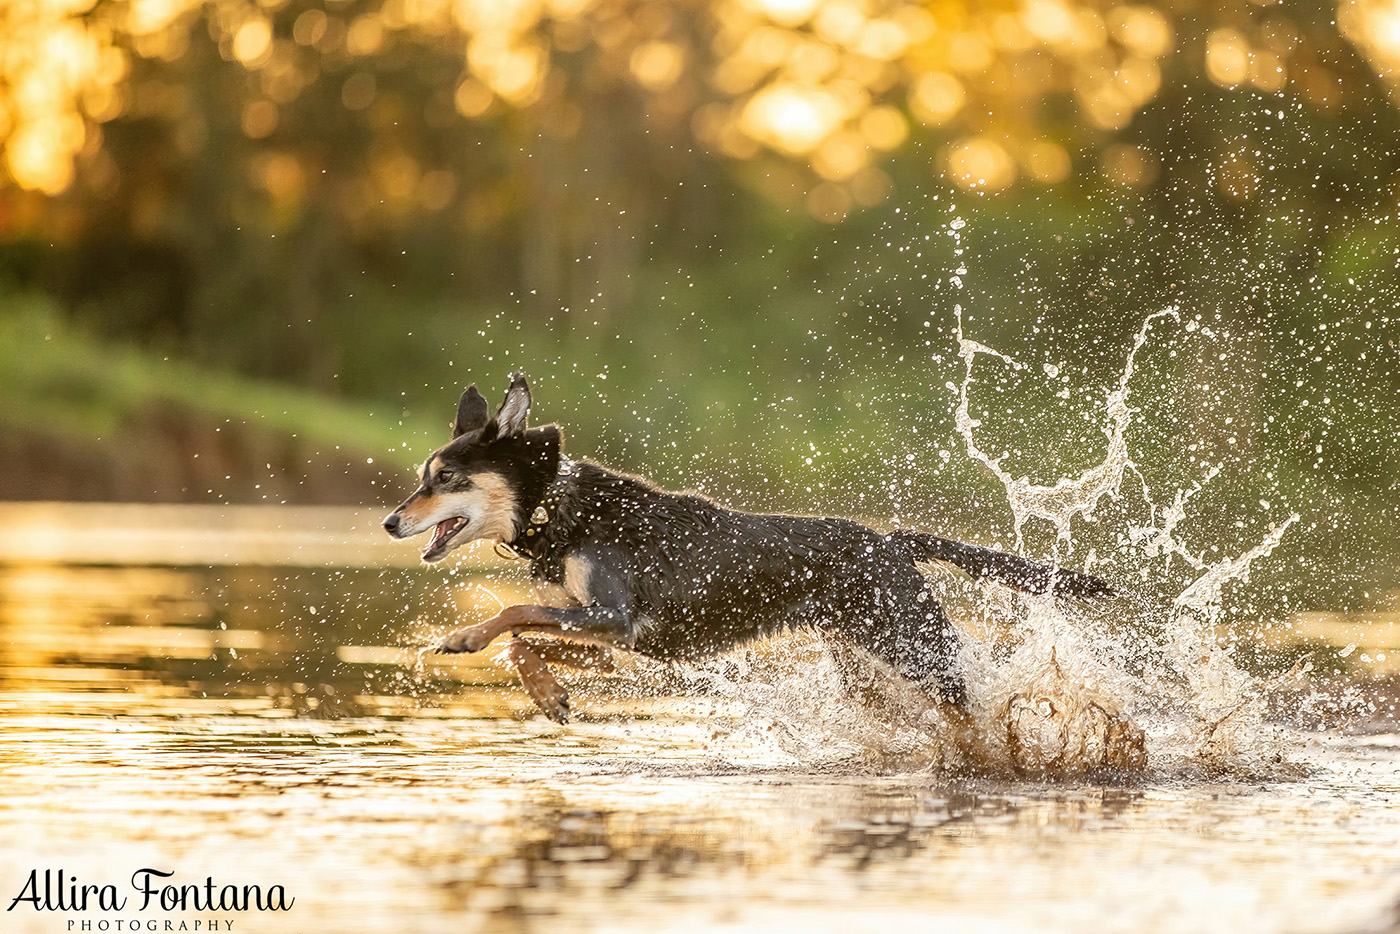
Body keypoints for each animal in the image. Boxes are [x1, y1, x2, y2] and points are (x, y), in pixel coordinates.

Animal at [380, 378, 1103, 722]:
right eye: (424, 475)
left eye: (445, 478)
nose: (389, 521)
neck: (559, 506)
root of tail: (889, 540)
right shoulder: (615, 638)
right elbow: (523, 639)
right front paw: (548, 694)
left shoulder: (614, 617)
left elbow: (511, 617)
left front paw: (463, 638)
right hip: (866, 664)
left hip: (916, 647)